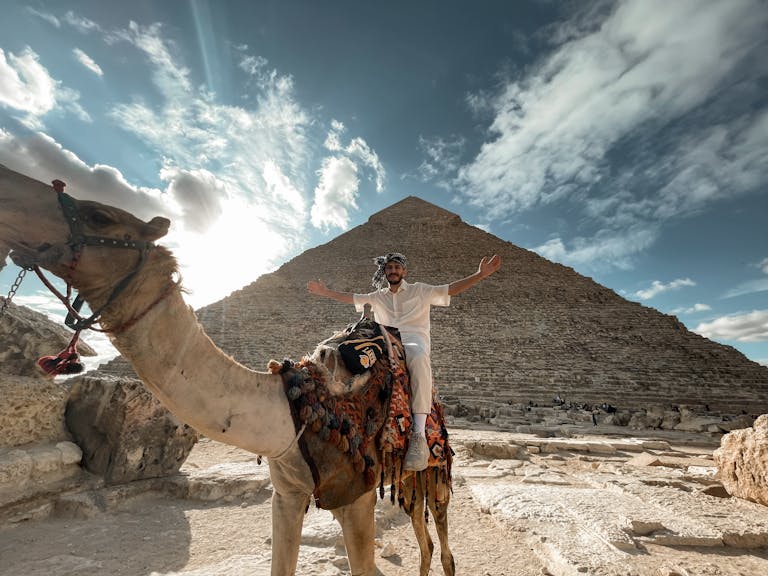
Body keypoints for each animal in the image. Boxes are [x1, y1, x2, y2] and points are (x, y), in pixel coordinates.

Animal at [0, 163, 452, 576]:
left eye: (98, 216)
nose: (9, 186)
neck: (295, 408)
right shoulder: (287, 494)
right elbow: (281, 566)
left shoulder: (356, 499)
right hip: (407, 484)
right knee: (425, 541)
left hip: (434, 472)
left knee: (443, 546)